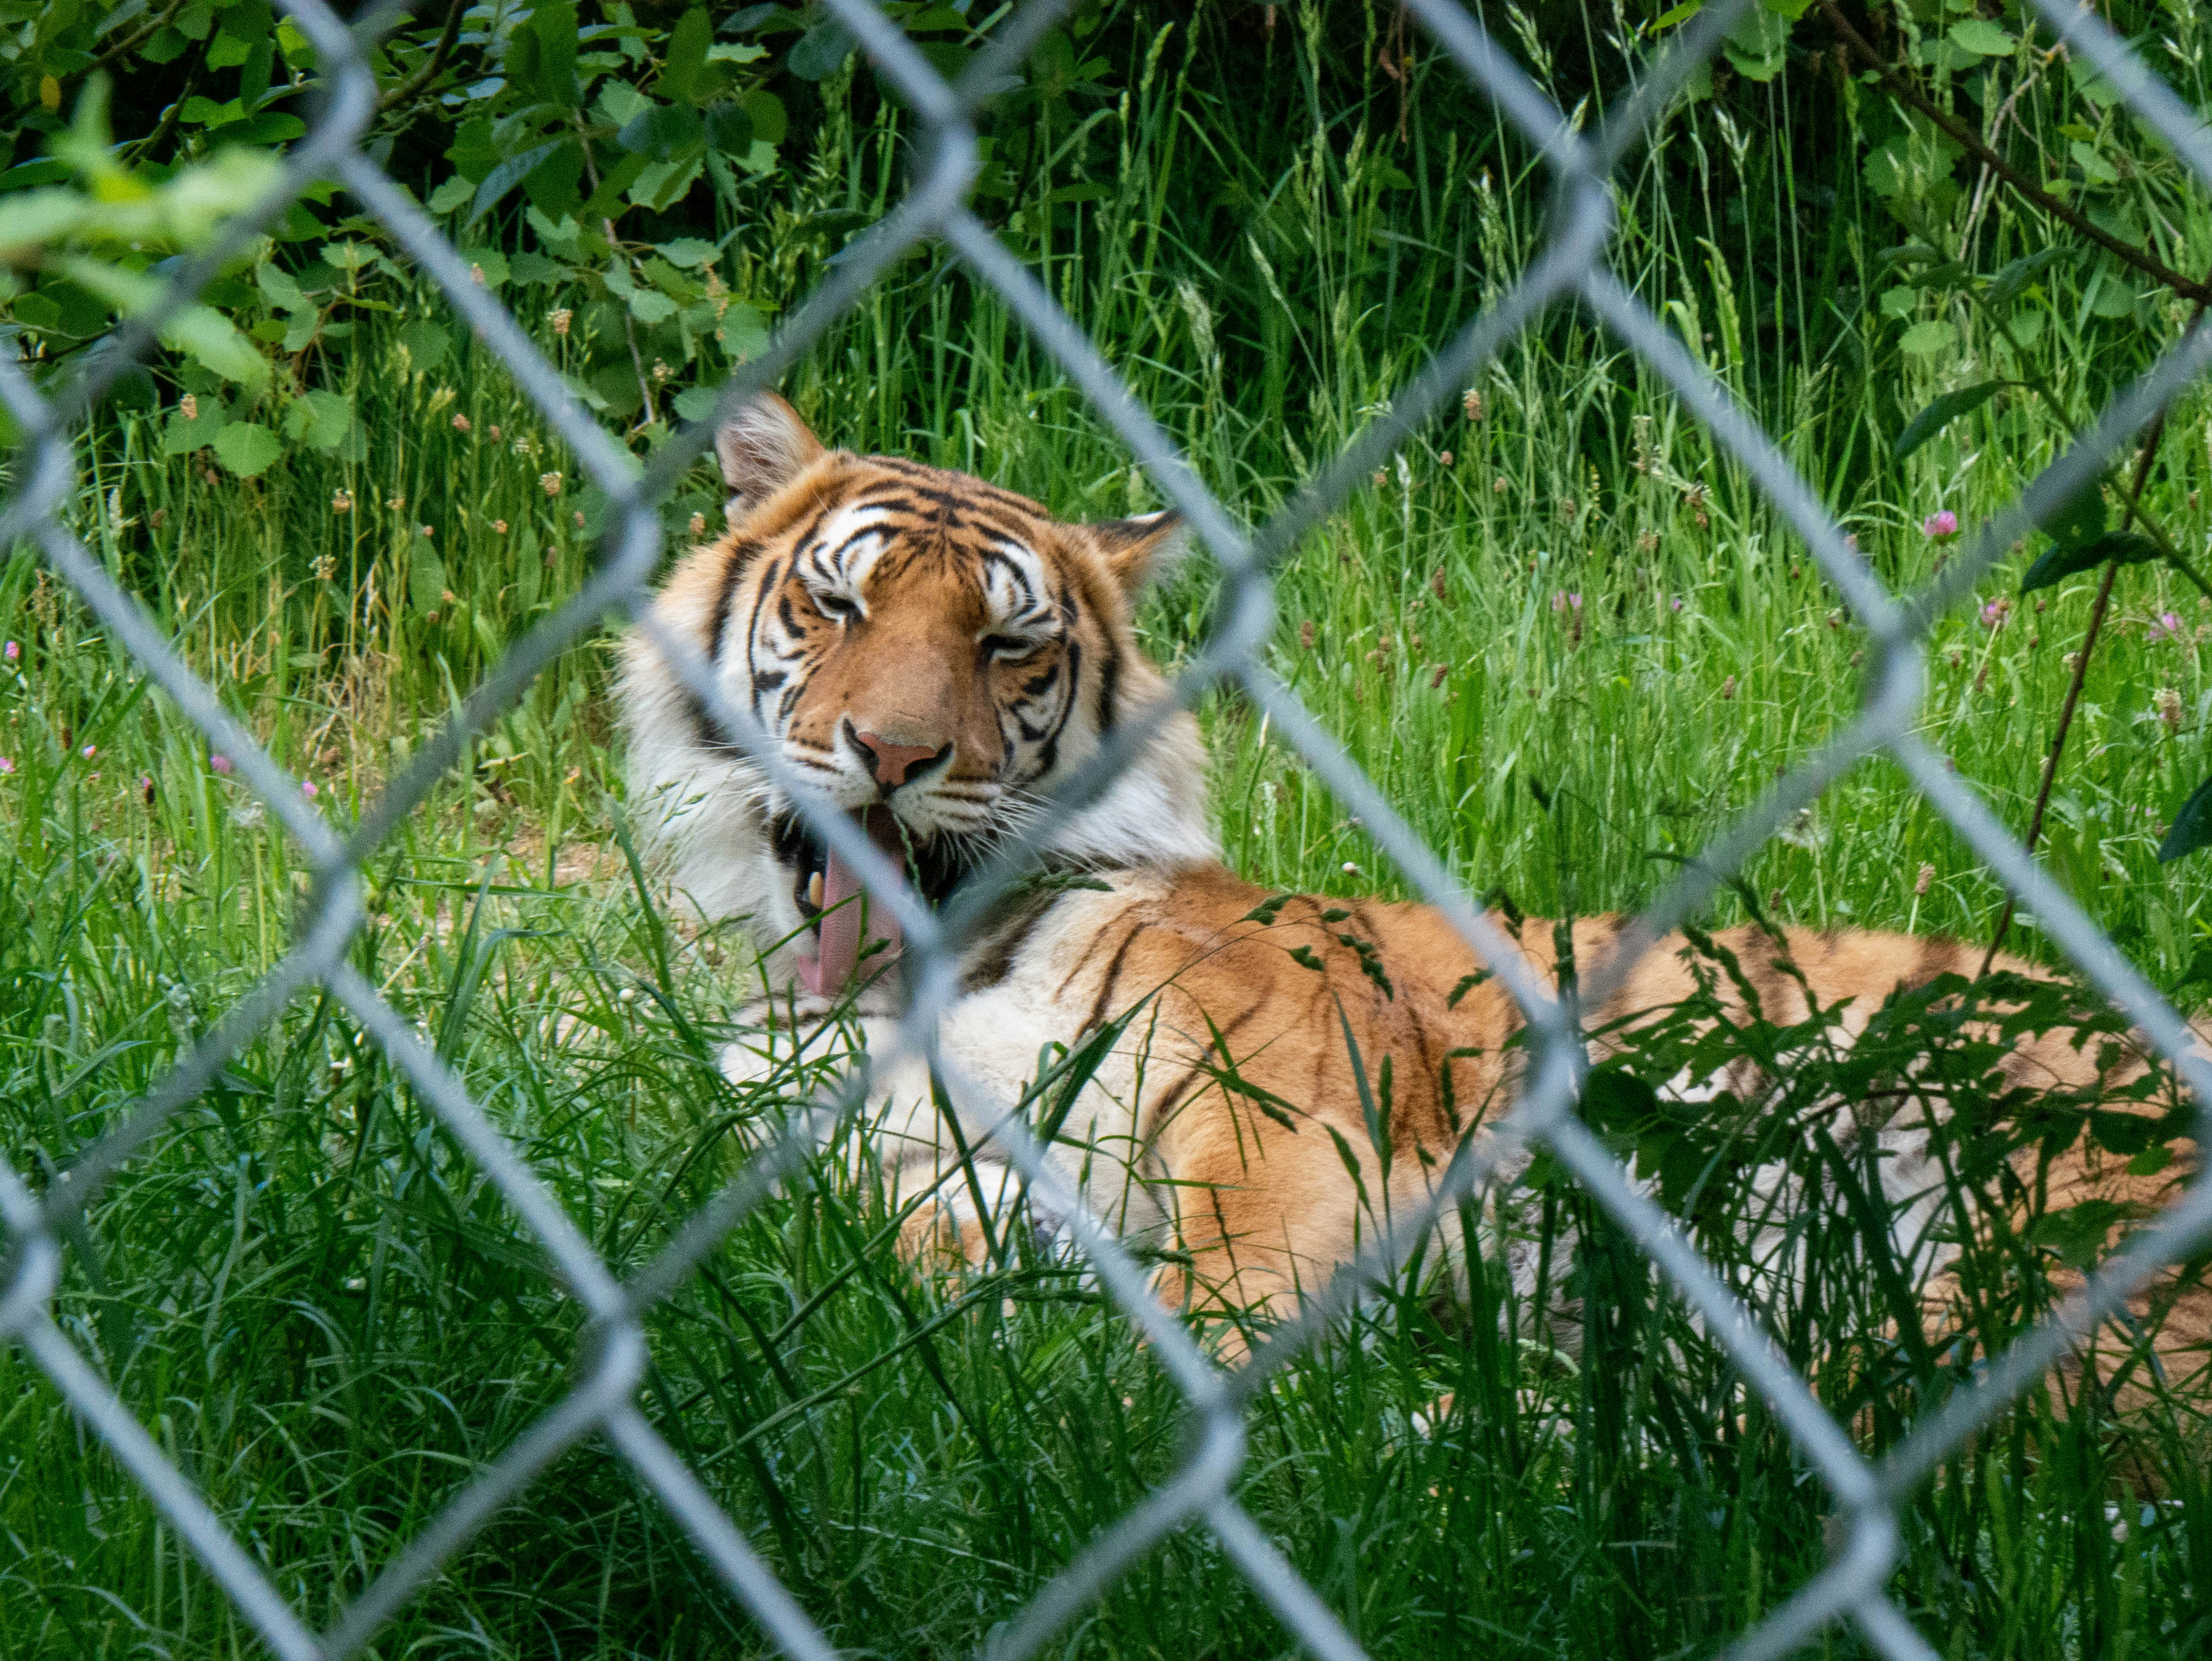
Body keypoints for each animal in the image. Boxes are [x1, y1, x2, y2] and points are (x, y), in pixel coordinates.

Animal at [620, 392, 2209, 1393]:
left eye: (1008, 646)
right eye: (836, 604)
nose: (893, 756)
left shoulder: (1291, 1107)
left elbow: (1221, 1298)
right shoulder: (854, 1159)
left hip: (2040, 1240)